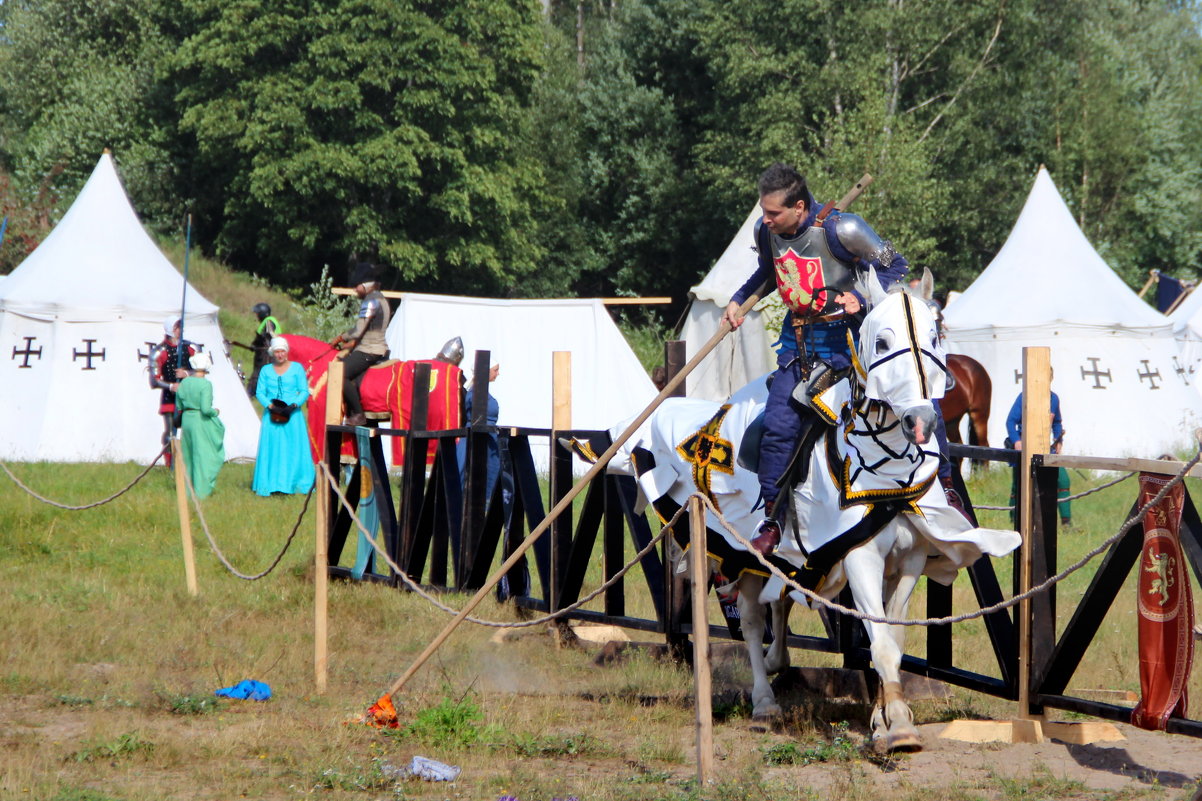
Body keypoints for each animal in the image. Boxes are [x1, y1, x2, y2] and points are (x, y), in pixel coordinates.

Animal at [576, 273, 1019, 750]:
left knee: (781, 599)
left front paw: (883, 718)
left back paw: (778, 662)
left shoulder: (909, 560)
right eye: (881, 341)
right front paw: (898, 726)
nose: (920, 421)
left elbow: (891, 635)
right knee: (753, 620)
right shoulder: (860, 557)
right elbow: (879, 642)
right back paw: (764, 700)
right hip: (741, 552)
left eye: (935, 336)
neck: (884, 470)